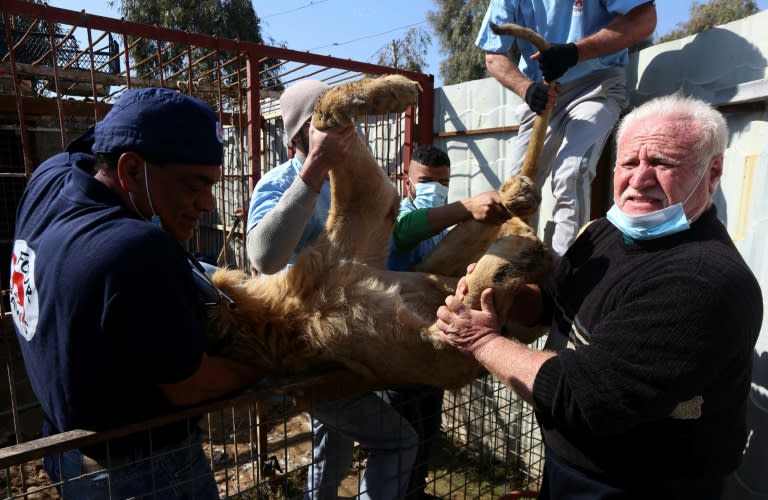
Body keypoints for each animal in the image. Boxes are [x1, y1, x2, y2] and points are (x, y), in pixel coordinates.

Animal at [207, 76, 548, 390]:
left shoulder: (362, 216)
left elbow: (324, 108)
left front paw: (392, 90)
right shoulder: (439, 357)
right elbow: (469, 310)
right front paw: (513, 261)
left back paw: (516, 197)